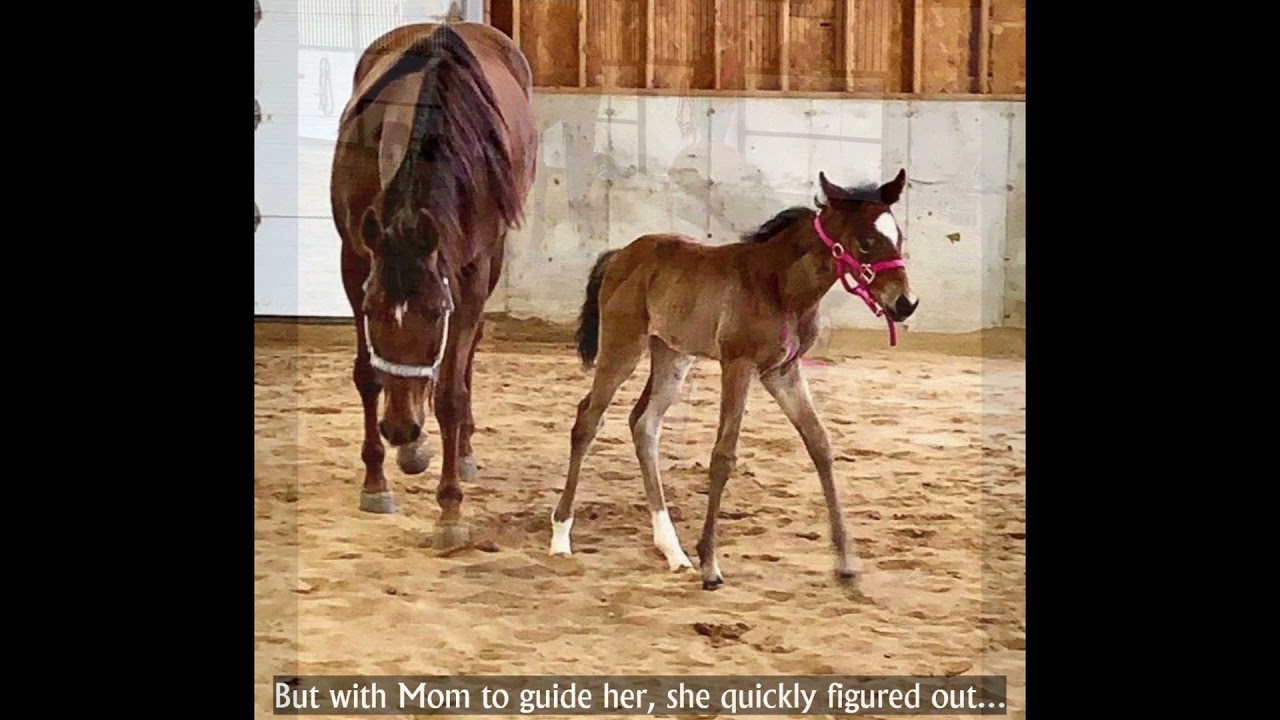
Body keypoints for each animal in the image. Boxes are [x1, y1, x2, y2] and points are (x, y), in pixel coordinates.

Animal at [330, 21, 537, 549]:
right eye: (372, 309)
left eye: (436, 312)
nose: (401, 429)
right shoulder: (355, 261)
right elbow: (368, 376)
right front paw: (376, 481)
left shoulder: (469, 273)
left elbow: (449, 393)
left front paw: (450, 509)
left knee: (466, 358)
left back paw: (459, 451)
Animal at [548, 169, 918, 589]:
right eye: (867, 242)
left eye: (899, 236)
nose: (905, 303)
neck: (780, 288)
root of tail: (620, 255)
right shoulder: (737, 364)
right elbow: (724, 455)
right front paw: (711, 565)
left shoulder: (783, 372)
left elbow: (820, 444)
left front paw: (845, 563)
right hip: (622, 345)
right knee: (587, 420)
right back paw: (561, 537)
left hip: (672, 356)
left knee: (644, 425)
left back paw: (673, 551)